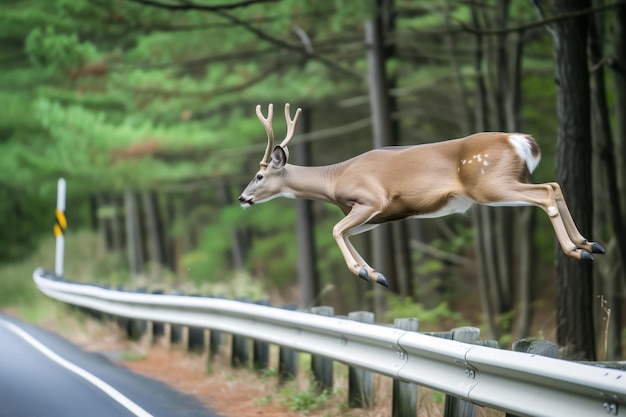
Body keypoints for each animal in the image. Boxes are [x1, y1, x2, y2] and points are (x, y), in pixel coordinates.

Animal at [236, 103, 604, 286]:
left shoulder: (371, 199)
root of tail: (521, 140)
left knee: (545, 193)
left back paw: (577, 251)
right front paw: (376, 274)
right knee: (554, 186)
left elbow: (335, 230)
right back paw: (590, 244)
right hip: (500, 183)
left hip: (489, 183)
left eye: (259, 175)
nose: (242, 198)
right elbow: (346, 232)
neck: (335, 179)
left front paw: (364, 273)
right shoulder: (378, 215)